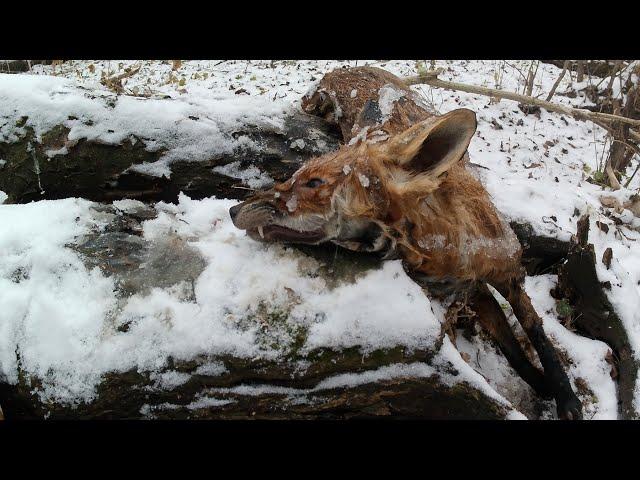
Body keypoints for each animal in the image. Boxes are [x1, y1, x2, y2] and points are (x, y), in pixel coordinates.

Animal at [230, 67, 584, 420]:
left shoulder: (505, 274)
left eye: (314, 183)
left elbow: (537, 334)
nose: (234, 210)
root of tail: (350, 68)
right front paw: (541, 384)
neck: (445, 252)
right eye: (295, 176)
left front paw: (565, 396)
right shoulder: (473, 292)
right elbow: (513, 350)